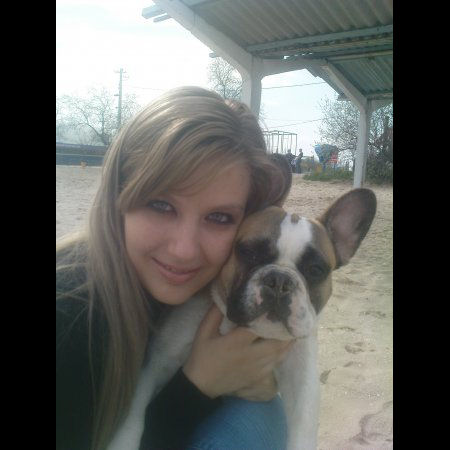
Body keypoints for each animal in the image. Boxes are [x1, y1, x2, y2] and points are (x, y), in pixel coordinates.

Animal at [108, 185, 376, 450]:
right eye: (249, 252)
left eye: (315, 270)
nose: (280, 280)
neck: (239, 328)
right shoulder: (156, 362)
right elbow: (133, 417)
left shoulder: (301, 378)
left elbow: (303, 427)